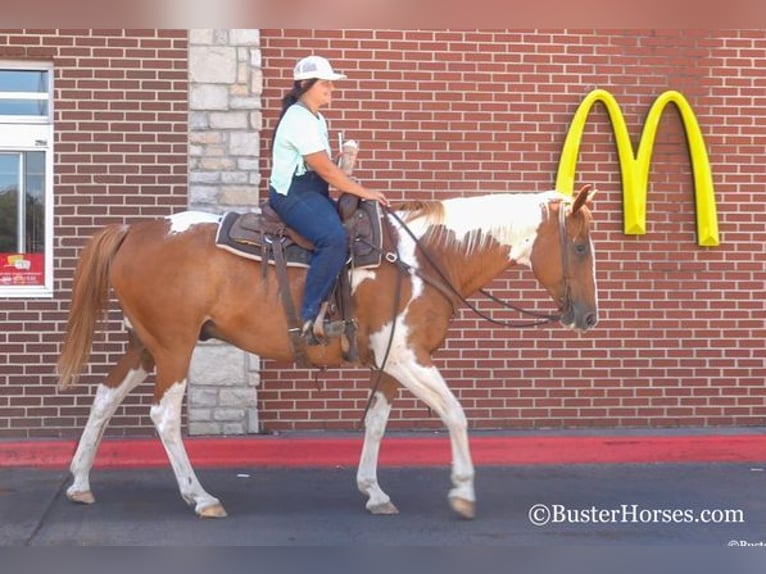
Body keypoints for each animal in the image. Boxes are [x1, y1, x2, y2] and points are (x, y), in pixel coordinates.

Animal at [58, 186, 600, 520]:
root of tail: (134, 230)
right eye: (579, 248)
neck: (424, 261)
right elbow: (455, 413)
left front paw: (374, 492)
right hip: (174, 345)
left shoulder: (392, 361)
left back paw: (80, 483)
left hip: (145, 345)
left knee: (103, 399)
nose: (589, 316)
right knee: (164, 415)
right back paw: (200, 496)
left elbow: (376, 423)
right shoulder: (408, 357)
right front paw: (464, 492)